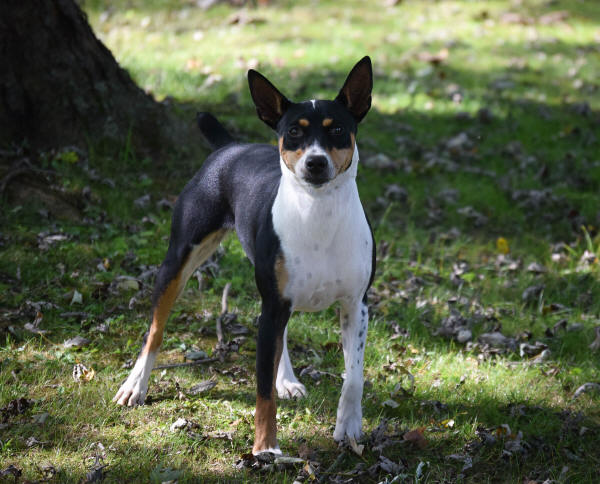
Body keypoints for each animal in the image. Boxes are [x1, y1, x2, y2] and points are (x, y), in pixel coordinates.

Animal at [113, 56, 376, 454]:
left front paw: (348, 427)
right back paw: (135, 385)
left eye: (338, 130)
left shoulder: (355, 306)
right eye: (294, 132)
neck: (317, 212)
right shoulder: (275, 305)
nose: (315, 163)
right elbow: (262, 392)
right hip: (179, 260)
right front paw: (265, 448)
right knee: (155, 329)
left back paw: (287, 380)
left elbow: (354, 376)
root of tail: (230, 147)